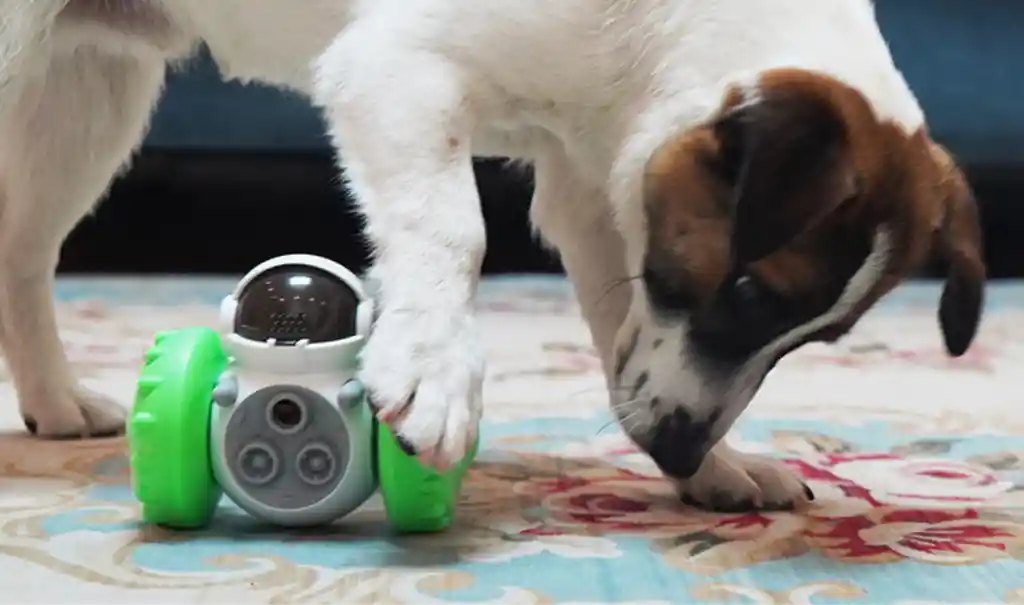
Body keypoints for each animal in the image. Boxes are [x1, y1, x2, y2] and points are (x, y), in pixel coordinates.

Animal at [0, 0, 983, 511]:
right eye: (745, 291)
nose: (674, 448)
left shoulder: (598, 183)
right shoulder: (393, 66)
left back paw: (54, 399)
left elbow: (620, 329)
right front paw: (436, 370)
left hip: (83, 98)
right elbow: (452, 228)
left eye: (814, 337)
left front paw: (718, 467)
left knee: (21, 252)